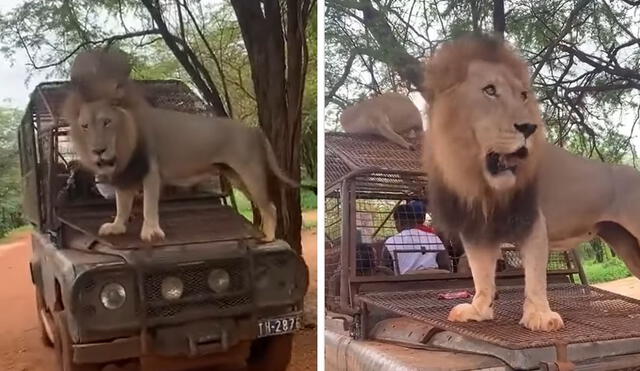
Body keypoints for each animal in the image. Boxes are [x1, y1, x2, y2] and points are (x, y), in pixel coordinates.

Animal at [62, 48, 298, 243]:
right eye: (85, 126)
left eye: (107, 122)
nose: (98, 151)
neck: (123, 142)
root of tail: (254, 129)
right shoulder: (127, 174)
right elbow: (122, 205)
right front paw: (116, 227)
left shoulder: (151, 171)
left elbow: (148, 205)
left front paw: (150, 232)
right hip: (236, 177)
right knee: (264, 206)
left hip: (251, 173)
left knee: (270, 207)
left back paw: (268, 238)